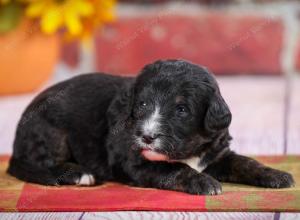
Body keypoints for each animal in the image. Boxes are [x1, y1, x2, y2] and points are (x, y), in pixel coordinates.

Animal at [8, 59, 294, 194]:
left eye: (181, 110)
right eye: (143, 104)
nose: (146, 137)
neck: (189, 150)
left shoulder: (217, 154)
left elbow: (245, 162)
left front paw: (277, 175)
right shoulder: (136, 162)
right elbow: (174, 169)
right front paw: (203, 182)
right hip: (51, 132)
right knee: (42, 163)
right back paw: (78, 174)